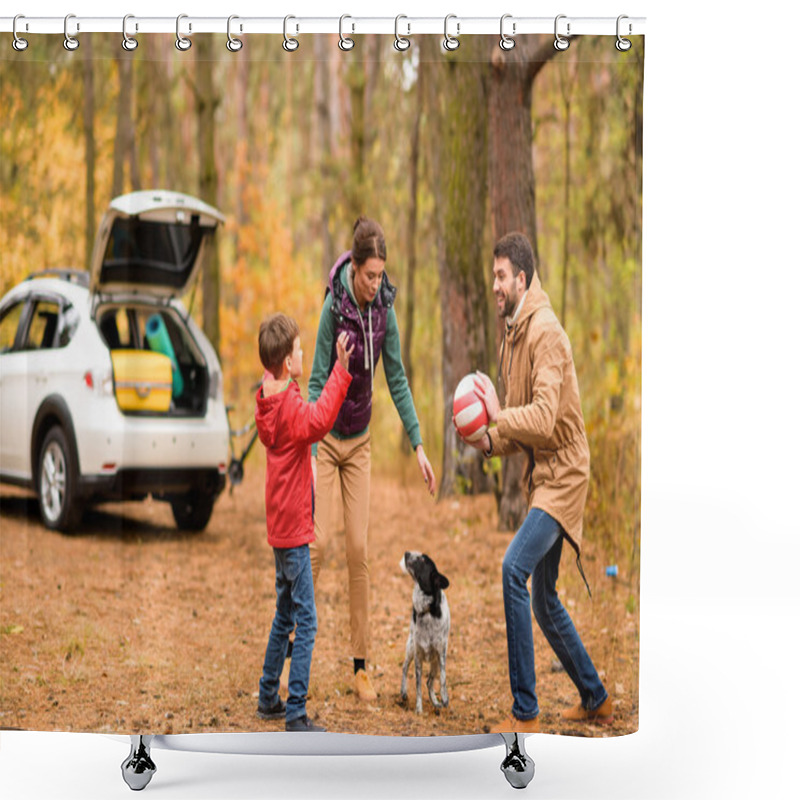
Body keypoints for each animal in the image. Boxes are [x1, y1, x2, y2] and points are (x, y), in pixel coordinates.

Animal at [400, 552, 450, 712]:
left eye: (422, 559)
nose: (406, 553)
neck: (427, 611)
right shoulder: (418, 656)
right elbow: (418, 687)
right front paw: (419, 709)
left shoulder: (441, 653)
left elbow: (443, 678)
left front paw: (444, 697)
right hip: (410, 647)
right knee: (404, 668)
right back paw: (403, 692)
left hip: (434, 661)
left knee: (430, 681)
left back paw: (435, 701)